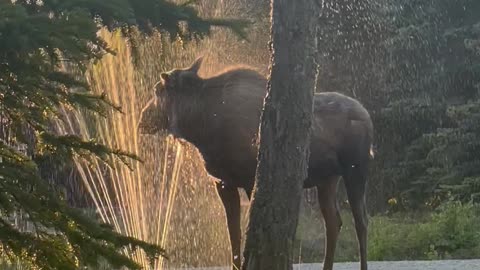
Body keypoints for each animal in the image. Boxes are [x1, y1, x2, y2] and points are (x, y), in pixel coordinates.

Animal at [137, 57, 374, 270]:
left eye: (157, 91)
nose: (141, 119)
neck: (202, 128)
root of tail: (367, 116)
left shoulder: (250, 179)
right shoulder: (223, 182)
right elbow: (233, 234)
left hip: (356, 170)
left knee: (361, 221)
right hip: (328, 180)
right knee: (334, 222)